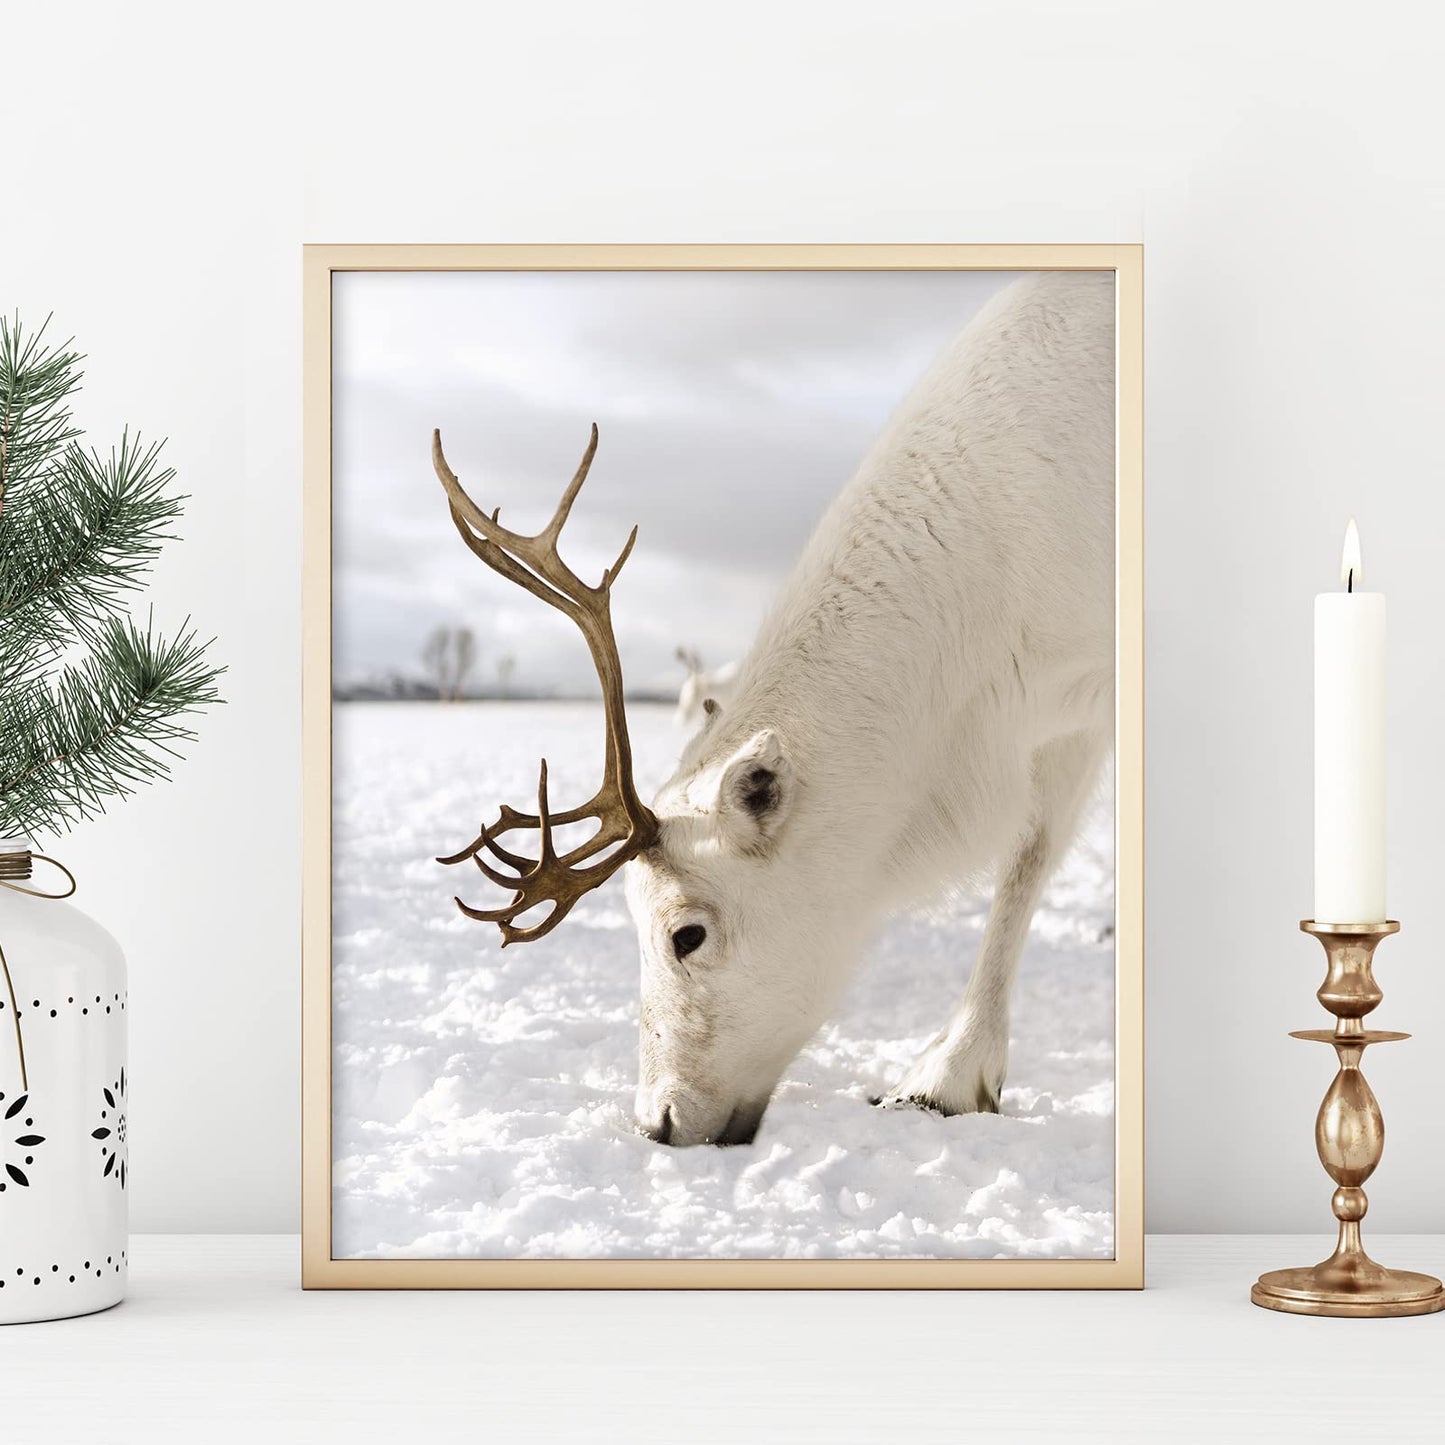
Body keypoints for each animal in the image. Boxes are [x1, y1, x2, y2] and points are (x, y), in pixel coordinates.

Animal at [433, 271, 1115, 1147]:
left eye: (687, 933)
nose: (658, 1121)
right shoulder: (1060, 709)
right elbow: (1028, 858)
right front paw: (957, 1070)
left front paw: (950, 1074)